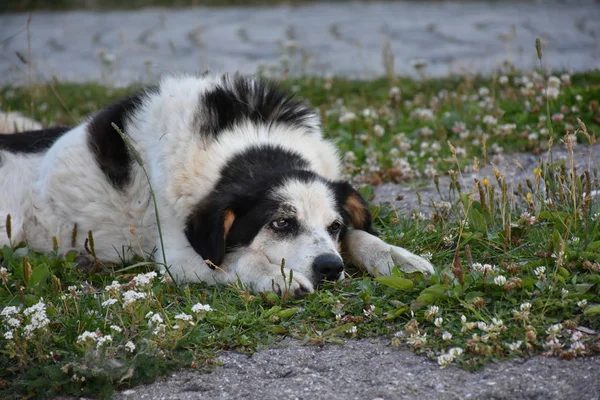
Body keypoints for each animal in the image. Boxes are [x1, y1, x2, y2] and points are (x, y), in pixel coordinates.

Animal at [0, 73, 432, 296]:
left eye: (335, 225)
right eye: (281, 223)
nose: (330, 268)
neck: (247, 143)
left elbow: (362, 237)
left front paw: (394, 256)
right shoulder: (178, 255)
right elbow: (238, 258)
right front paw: (275, 276)